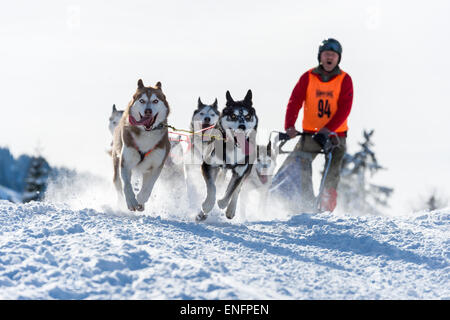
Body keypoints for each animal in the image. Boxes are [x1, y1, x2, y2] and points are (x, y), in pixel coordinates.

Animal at [111, 79, 171, 211]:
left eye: (155, 100)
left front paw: (141, 199)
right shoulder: (125, 162)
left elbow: (148, 187)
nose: (148, 111)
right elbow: (127, 185)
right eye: (142, 100)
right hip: (116, 162)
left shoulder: (156, 166)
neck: (146, 134)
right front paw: (132, 202)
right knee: (118, 184)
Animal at [197, 89, 256, 220]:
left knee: (237, 190)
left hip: (246, 172)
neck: (231, 146)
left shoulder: (239, 173)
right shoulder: (207, 166)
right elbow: (212, 188)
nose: (242, 126)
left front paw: (222, 203)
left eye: (248, 116)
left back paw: (230, 210)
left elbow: (230, 191)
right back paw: (201, 214)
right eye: (233, 115)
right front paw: (207, 206)